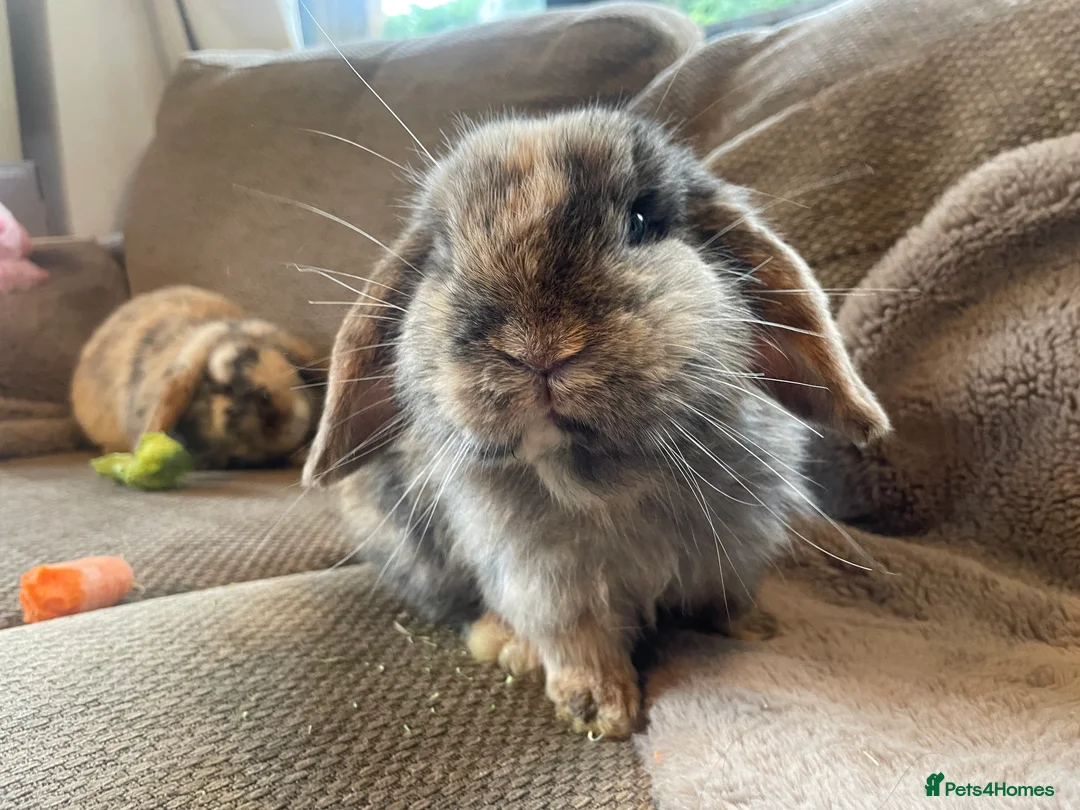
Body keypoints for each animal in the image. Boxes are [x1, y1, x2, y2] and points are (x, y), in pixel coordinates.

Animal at [302, 108, 890, 738]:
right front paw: (600, 711)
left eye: (642, 220)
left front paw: (755, 628)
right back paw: (504, 644)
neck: (603, 477)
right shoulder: (545, 578)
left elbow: (725, 596)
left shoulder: (737, 546)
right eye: (442, 251)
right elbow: (576, 639)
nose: (537, 346)